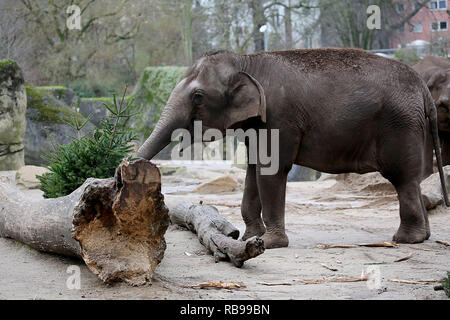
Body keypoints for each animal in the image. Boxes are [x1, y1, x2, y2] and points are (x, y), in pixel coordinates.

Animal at [139, 48, 448, 249]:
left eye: (198, 96)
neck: (247, 60)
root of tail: (423, 89)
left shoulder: (279, 117)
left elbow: (271, 169)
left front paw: (270, 243)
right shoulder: (259, 122)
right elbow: (253, 169)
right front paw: (250, 238)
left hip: (400, 125)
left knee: (402, 178)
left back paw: (406, 239)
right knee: (413, 179)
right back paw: (423, 236)